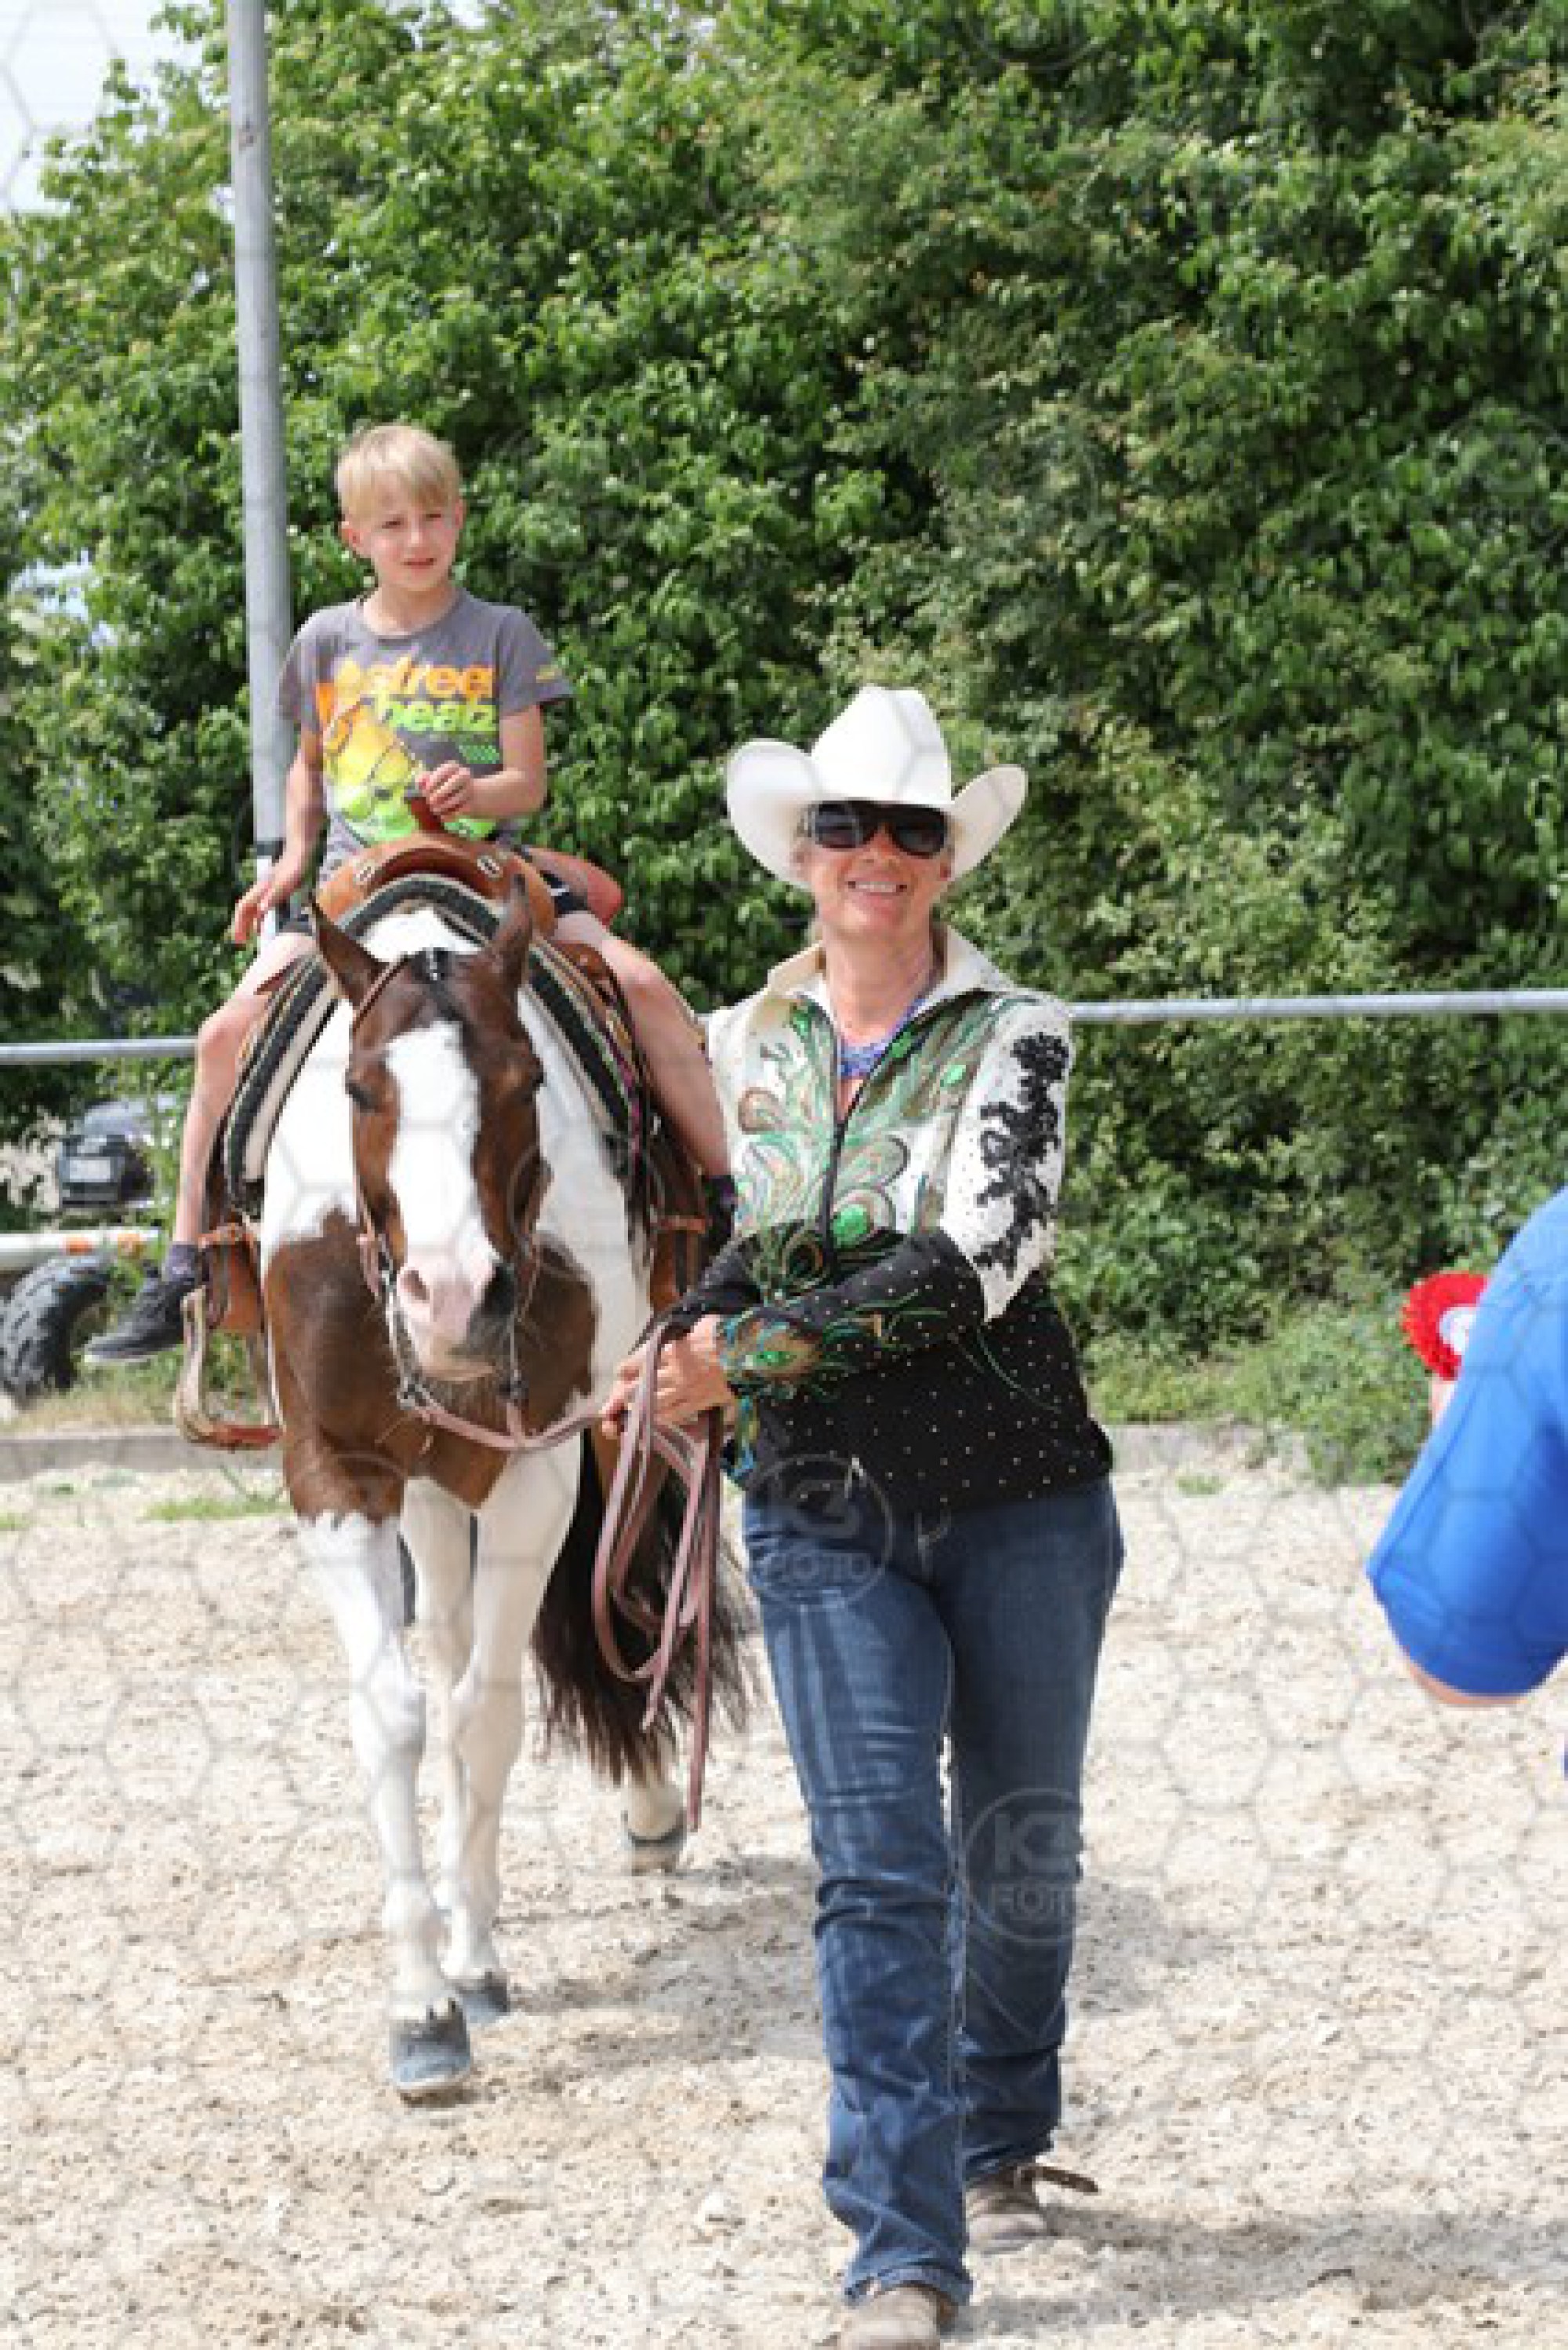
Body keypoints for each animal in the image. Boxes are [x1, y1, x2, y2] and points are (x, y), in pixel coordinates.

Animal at [258, 875, 735, 2098]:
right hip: (429, 1482)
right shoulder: (338, 1468)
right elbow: (395, 1712)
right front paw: (421, 2004)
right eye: (361, 1087)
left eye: (521, 1083)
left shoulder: (542, 1467)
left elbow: (488, 1713)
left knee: (617, 1599)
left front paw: (471, 1962)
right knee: (446, 1641)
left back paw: (647, 1806)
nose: (455, 1297)